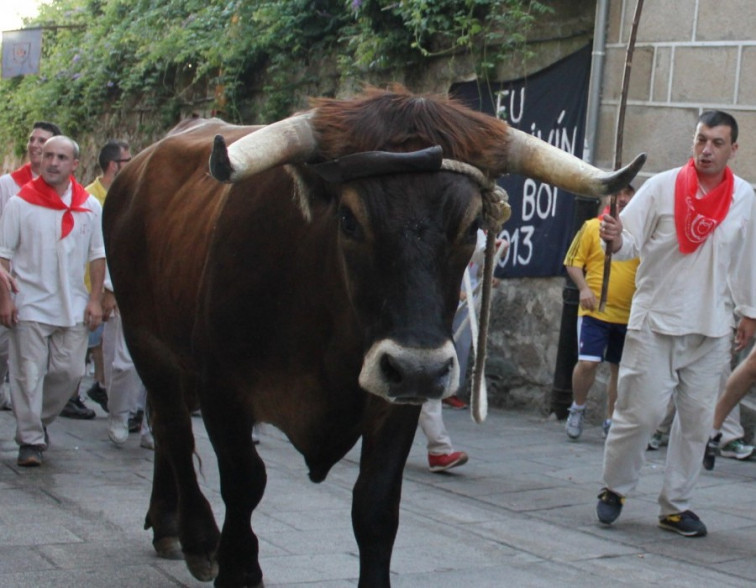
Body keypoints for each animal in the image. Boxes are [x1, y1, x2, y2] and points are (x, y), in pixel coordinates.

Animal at [103, 85, 640, 584]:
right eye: (348, 219)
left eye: (471, 226)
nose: (419, 369)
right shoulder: (223, 390)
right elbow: (244, 483)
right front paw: (236, 565)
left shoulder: (395, 404)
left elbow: (376, 505)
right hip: (146, 339)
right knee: (172, 425)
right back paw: (194, 537)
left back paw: (165, 522)